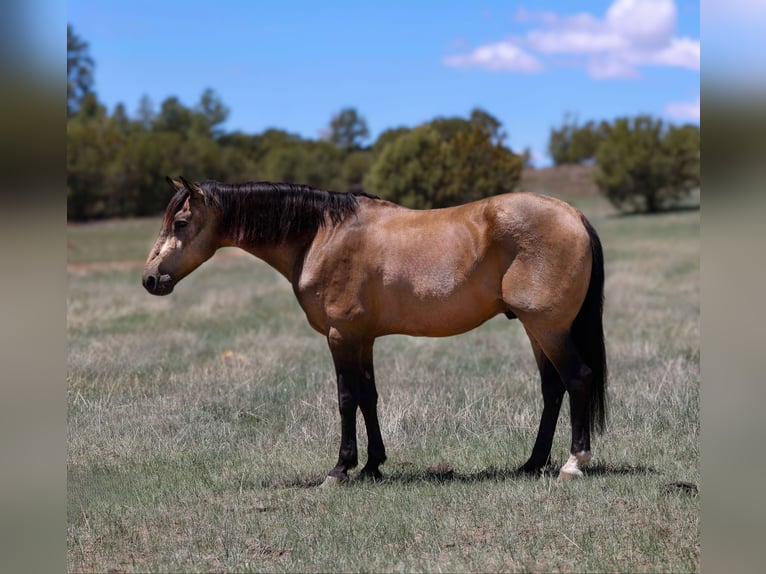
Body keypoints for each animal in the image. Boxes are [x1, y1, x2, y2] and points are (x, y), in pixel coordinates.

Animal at [143, 177, 607, 485]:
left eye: (180, 223)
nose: (150, 279)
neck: (322, 235)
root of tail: (574, 215)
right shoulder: (361, 338)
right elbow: (369, 397)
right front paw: (372, 465)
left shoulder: (341, 336)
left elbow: (346, 398)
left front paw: (340, 469)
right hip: (535, 330)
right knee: (553, 389)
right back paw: (532, 463)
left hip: (547, 327)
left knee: (578, 378)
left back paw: (573, 463)